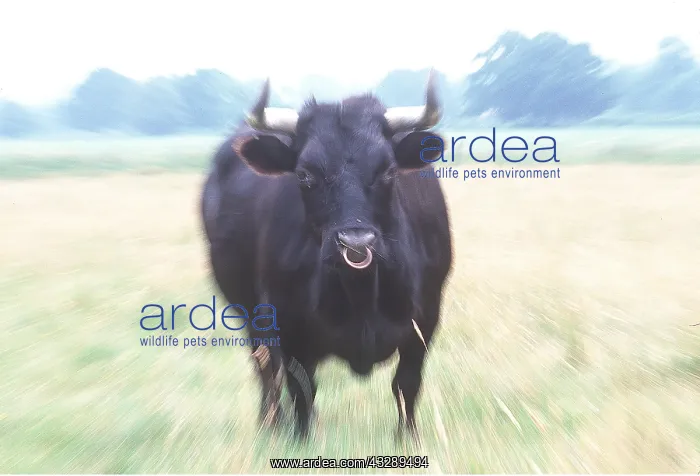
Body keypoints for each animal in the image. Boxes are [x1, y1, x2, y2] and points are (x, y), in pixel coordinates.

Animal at [200, 70, 453, 440]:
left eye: (389, 170)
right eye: (305, 174)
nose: (355, 241)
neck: (361, 293)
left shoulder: (426, 321)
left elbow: (407, 385)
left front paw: (408, 439)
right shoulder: (286, 323)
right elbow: (301, 389)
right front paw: (301, 438)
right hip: (248, 312)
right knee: (266, 370)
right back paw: (271, 423)